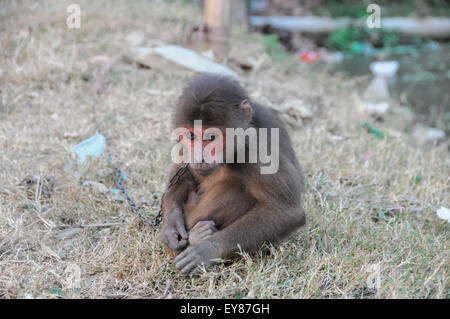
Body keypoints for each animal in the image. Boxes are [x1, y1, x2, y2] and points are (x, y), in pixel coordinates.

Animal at [159, 74, 306, 276]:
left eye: (212, 137)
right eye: (191, 136)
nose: (199, 156)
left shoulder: (253, 148)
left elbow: (285, 211)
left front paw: (207, 251)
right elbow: (184, 172)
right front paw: (171, 226)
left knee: (235, 189)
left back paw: (197, 238)